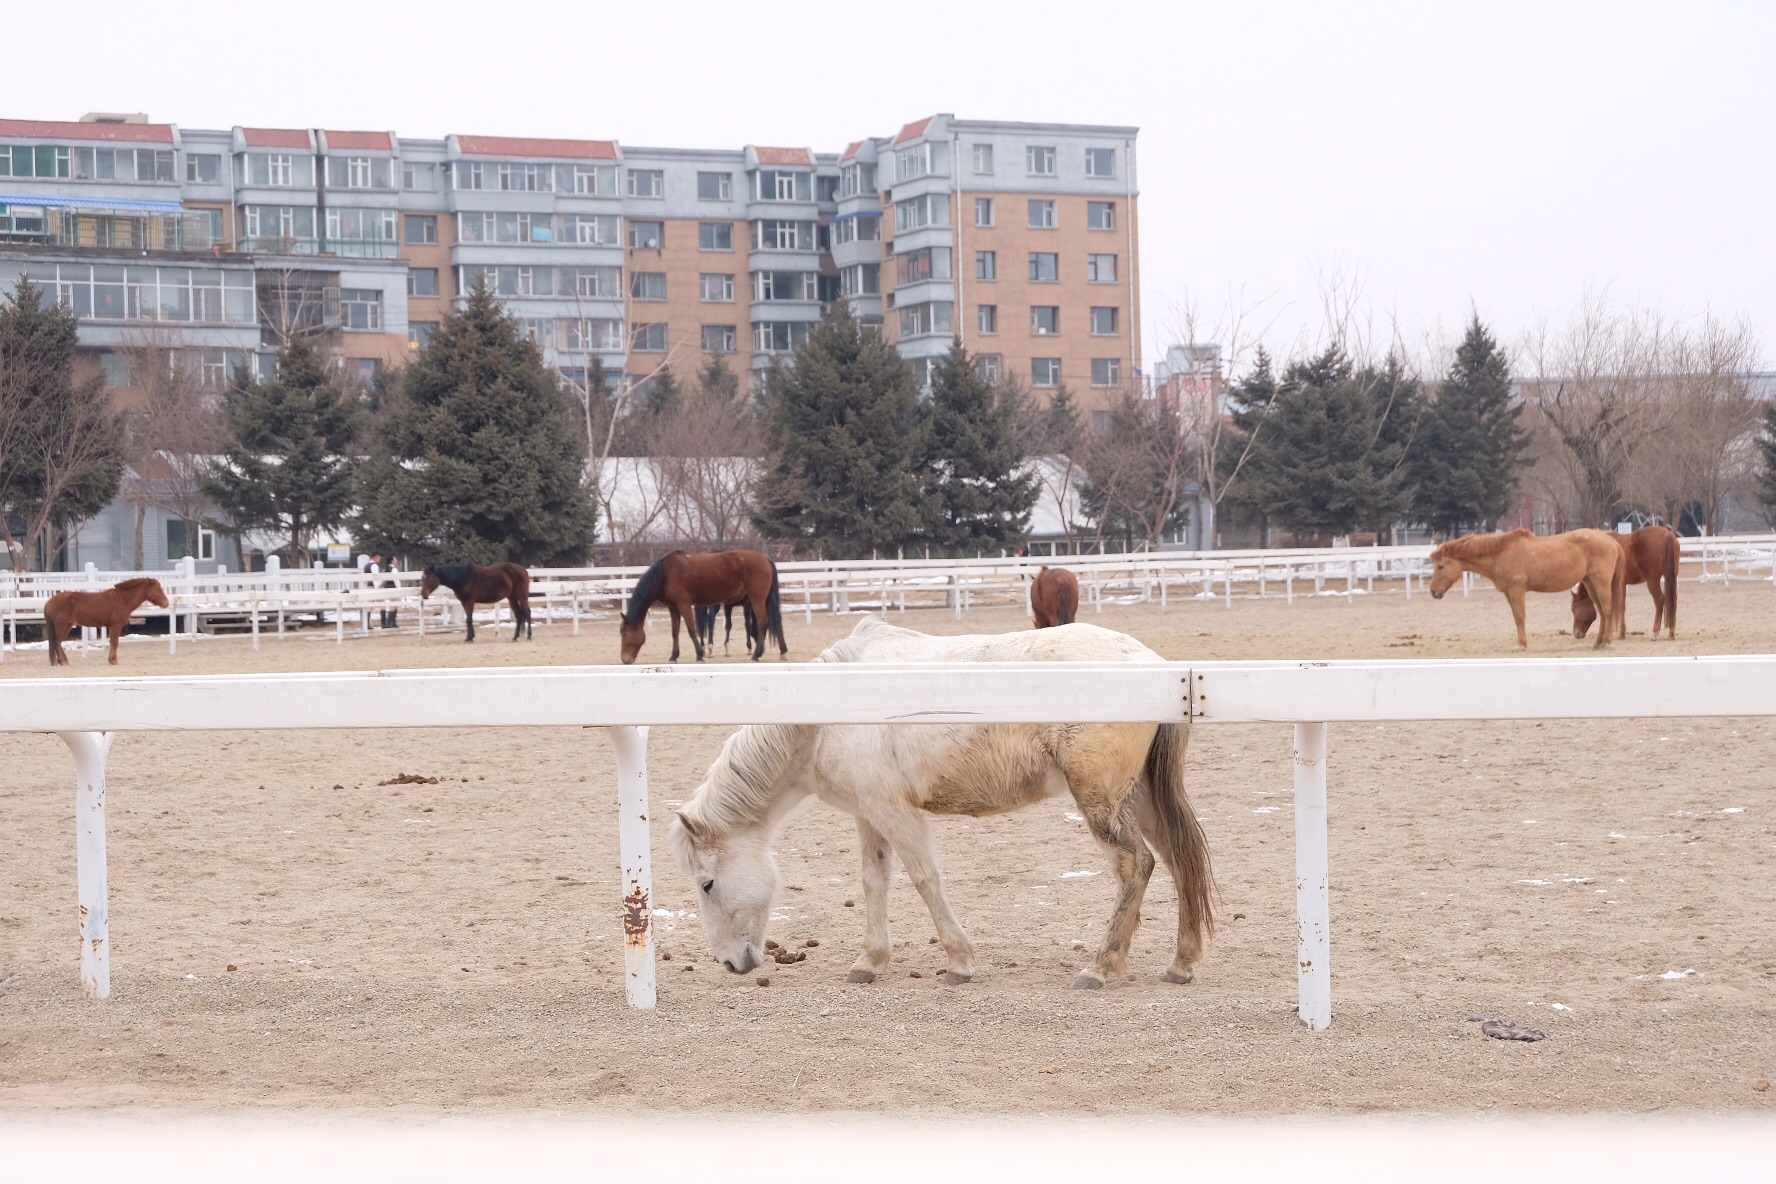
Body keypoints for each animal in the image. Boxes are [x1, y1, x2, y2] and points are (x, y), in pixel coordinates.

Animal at [618, 550, 784, 663]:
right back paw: (782, 651)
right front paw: (673, 656)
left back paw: (757, 654)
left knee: (763, 622)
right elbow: (675, 631)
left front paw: (699, 654)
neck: (665, 574)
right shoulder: (673, 607)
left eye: (624, 633)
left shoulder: (684, 605)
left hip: (757, 599)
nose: (625, 659)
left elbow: (692, 630)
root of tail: (765, 559)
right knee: (775, 622)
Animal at [671, 621, 1214, 994]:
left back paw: (1100, 967)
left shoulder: (894, 811)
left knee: (1135, 865)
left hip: (1101, 802)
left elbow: (924, 878)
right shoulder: (869, 813)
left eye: (707, 884)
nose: (730, 963)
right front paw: (869, 962)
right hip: (1138, 797)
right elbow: (874, 882)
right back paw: (1181, 962)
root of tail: (1152, 664)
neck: (830, 715)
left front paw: (958, 962)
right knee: (1177, 859)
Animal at [1427, 528, 1626, 653]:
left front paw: (1521, 645)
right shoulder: (1508, 593)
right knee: (1602, 612)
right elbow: (1516, 618)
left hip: (1600, 583)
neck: (1501, 553)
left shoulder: (1516, 590)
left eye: (1441, 566)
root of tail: (1610, 540)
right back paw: (1598, 643)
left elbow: (1520, 617)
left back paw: (1606, 643)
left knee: (1608, 610)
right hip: (1591, 583)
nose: (1433, 591)